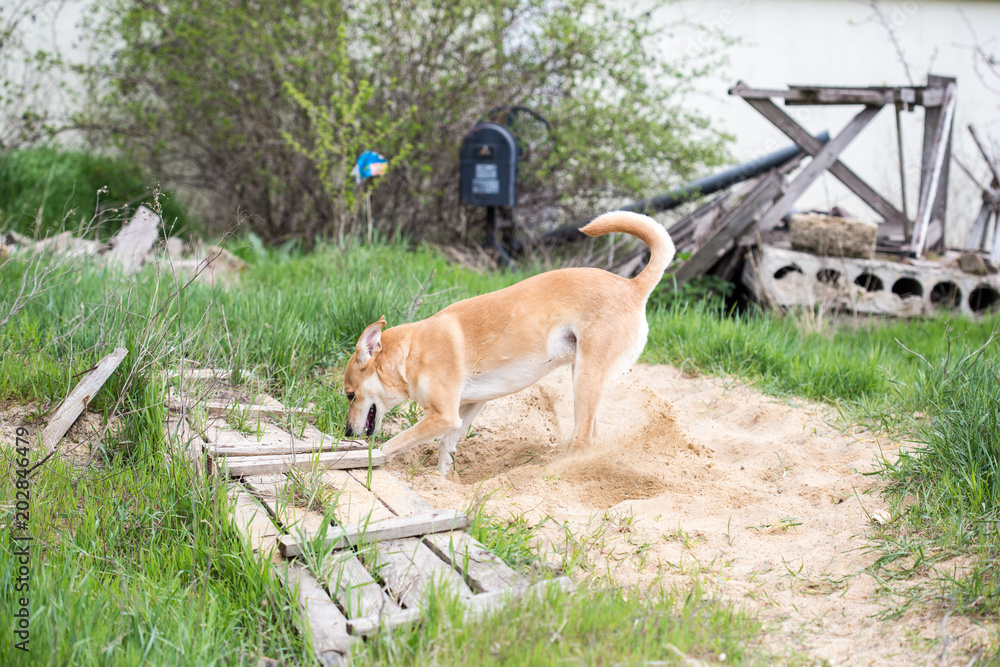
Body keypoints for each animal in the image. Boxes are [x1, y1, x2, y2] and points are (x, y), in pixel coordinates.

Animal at [340, 211, 676, 472]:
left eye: (349, 395)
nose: (346, 431)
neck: (411, 353)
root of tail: (633, 286)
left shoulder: (442, 415)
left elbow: (394, 443)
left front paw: (371, 458)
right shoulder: (467, 407)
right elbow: (447, 447)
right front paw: (442, 480)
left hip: (585, 378)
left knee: (582, 441)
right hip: (584, 378)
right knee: (590, 436)